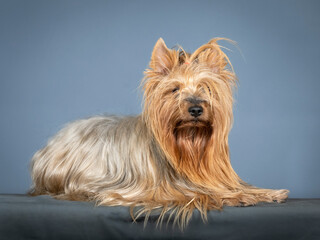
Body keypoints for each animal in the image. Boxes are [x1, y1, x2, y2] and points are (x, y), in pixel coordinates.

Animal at [30, 38, 288, 228]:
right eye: (174, 90)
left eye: (205, 88)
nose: (196, 109)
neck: (190, 140)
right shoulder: (150, 192)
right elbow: (198, 194)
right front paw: (238, 198)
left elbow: (233, 187)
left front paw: (269, 193)